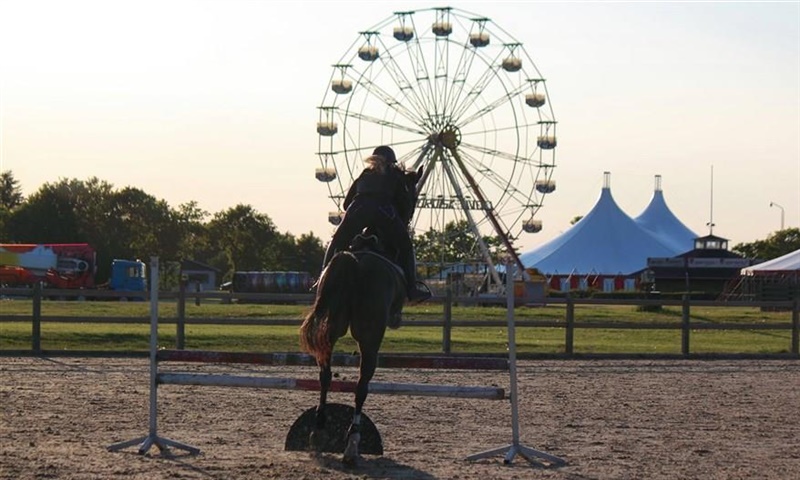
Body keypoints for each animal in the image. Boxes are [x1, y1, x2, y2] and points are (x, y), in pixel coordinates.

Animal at [299, 165, 422, 466]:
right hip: (370, 337)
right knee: (361, 385)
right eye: (412, 194)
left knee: (325, 375)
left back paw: (319, 432)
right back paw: (352, 443)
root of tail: (354, 262)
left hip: (330, 330)